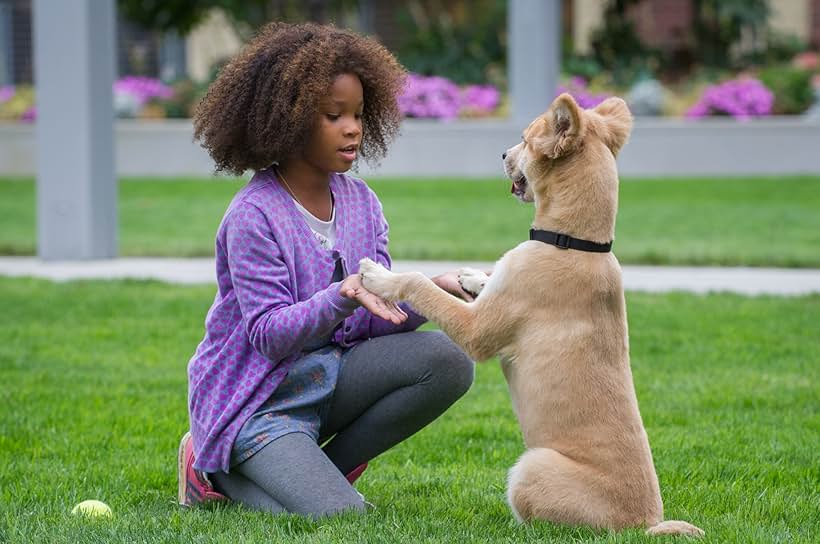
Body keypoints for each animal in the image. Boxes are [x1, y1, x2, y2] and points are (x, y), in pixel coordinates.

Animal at [362, 94, 708, 536]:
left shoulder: (476, 330)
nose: (503, 153)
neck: (573, 242)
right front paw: (473, 277)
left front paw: (381, 277)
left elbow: (421, 284)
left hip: (532, 467)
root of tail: (641, 526)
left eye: (526, 140)